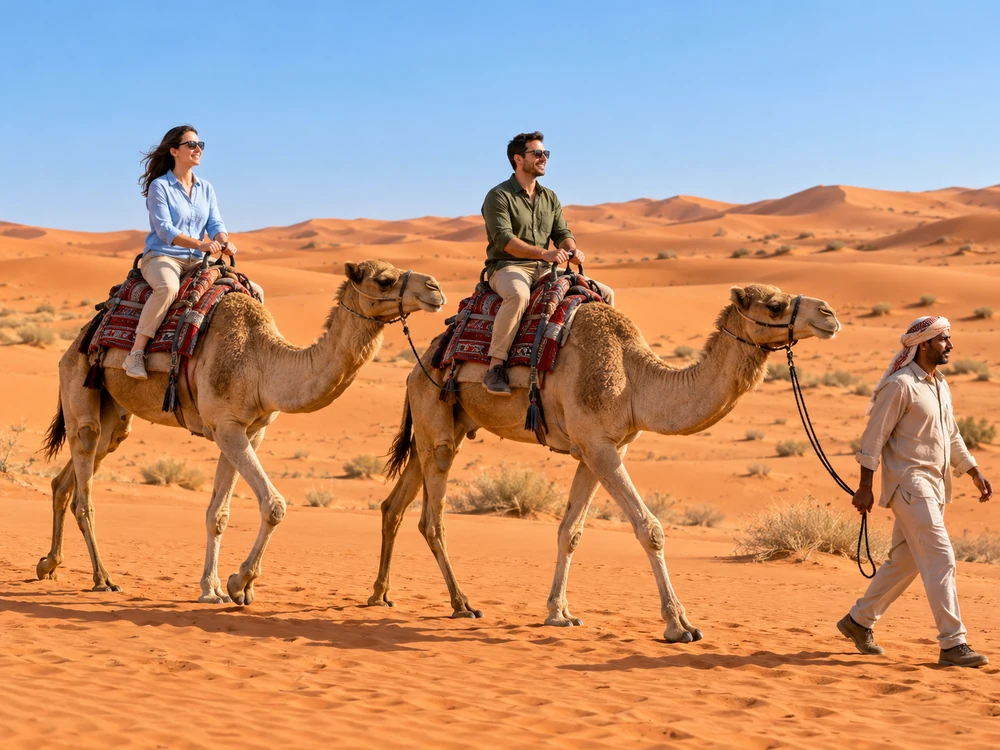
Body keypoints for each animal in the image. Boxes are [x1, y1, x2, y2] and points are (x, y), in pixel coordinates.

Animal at [39, 259, 445, 605]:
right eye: (385, 279)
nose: (435, 288)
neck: (262, 362)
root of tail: (83, 333)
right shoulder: (227, 426)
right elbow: (274, 505)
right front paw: (240, 583)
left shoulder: (248, 431)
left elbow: (218, 514)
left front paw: (212, 588)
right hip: (79, 385)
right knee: (84, 483)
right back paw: (103, 578)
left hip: (115, 417)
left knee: (69, 479)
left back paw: (49, 564)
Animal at [368, 283, 841, 642]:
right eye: (775, 304)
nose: (829, 314)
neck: (635, 379)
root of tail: (421, 359)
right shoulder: (599, 445)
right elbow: (650, 528)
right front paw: (679, 625)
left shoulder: (600, 448)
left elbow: (570, 532)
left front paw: (558, 613)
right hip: (435, 413)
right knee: (432, 517)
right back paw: (462, 604)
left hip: (443, 422)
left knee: (395, 504)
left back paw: (379, 594)